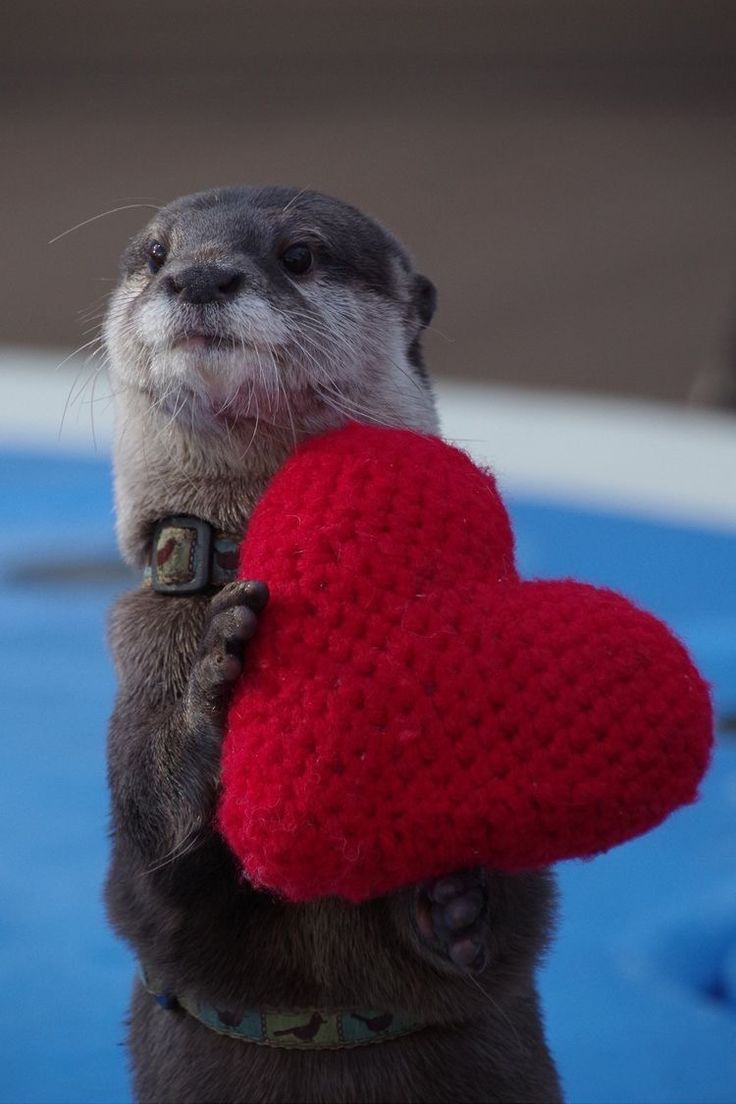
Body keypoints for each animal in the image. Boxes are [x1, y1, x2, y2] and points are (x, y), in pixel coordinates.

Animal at [102, 185, 564, 1099]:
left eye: (300, 253)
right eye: (156, 253)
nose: (199, 276)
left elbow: (512, 918)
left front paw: (454, 895)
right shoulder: (136, 695)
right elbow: (157, 857)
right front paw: (216, 684)